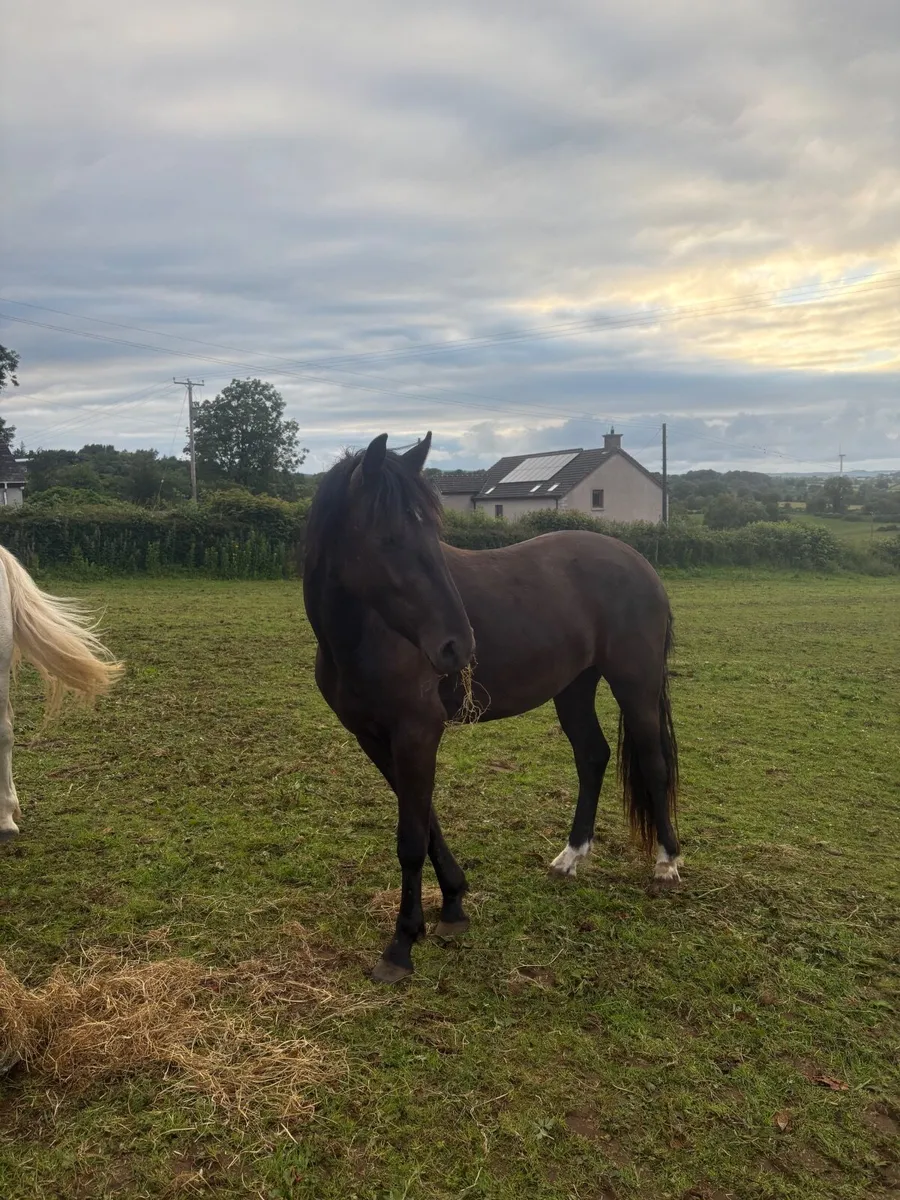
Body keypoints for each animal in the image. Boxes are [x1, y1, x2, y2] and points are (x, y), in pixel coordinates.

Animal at [303, 432, 680, 983]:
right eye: (388, 538)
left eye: (434, 533)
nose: (457, 645)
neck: (366, 635)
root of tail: (637, 562)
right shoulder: (374, 738)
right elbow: (426, 821)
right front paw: (453, 905)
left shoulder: (417, 734)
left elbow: (411, 837)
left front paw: (401, 944)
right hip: (573, 688)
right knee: (593, 757)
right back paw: (570, 858)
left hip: (636, 686)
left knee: (653, 764)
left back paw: (667, 864)